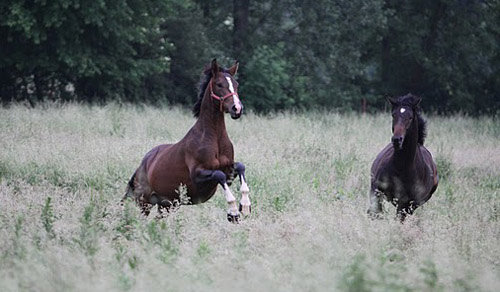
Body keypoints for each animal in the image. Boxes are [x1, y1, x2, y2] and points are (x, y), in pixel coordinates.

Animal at [122, 60, 250, 224]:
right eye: (219, 84)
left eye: (236, 84)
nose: (237, 109)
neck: (214, 138)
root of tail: (142, 164)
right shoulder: (198, 175)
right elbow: (218, 174)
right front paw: (233, 212)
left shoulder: (229, 173)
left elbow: (240, 167)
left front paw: (245, 206)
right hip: (144, 202)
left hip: (167, 205)